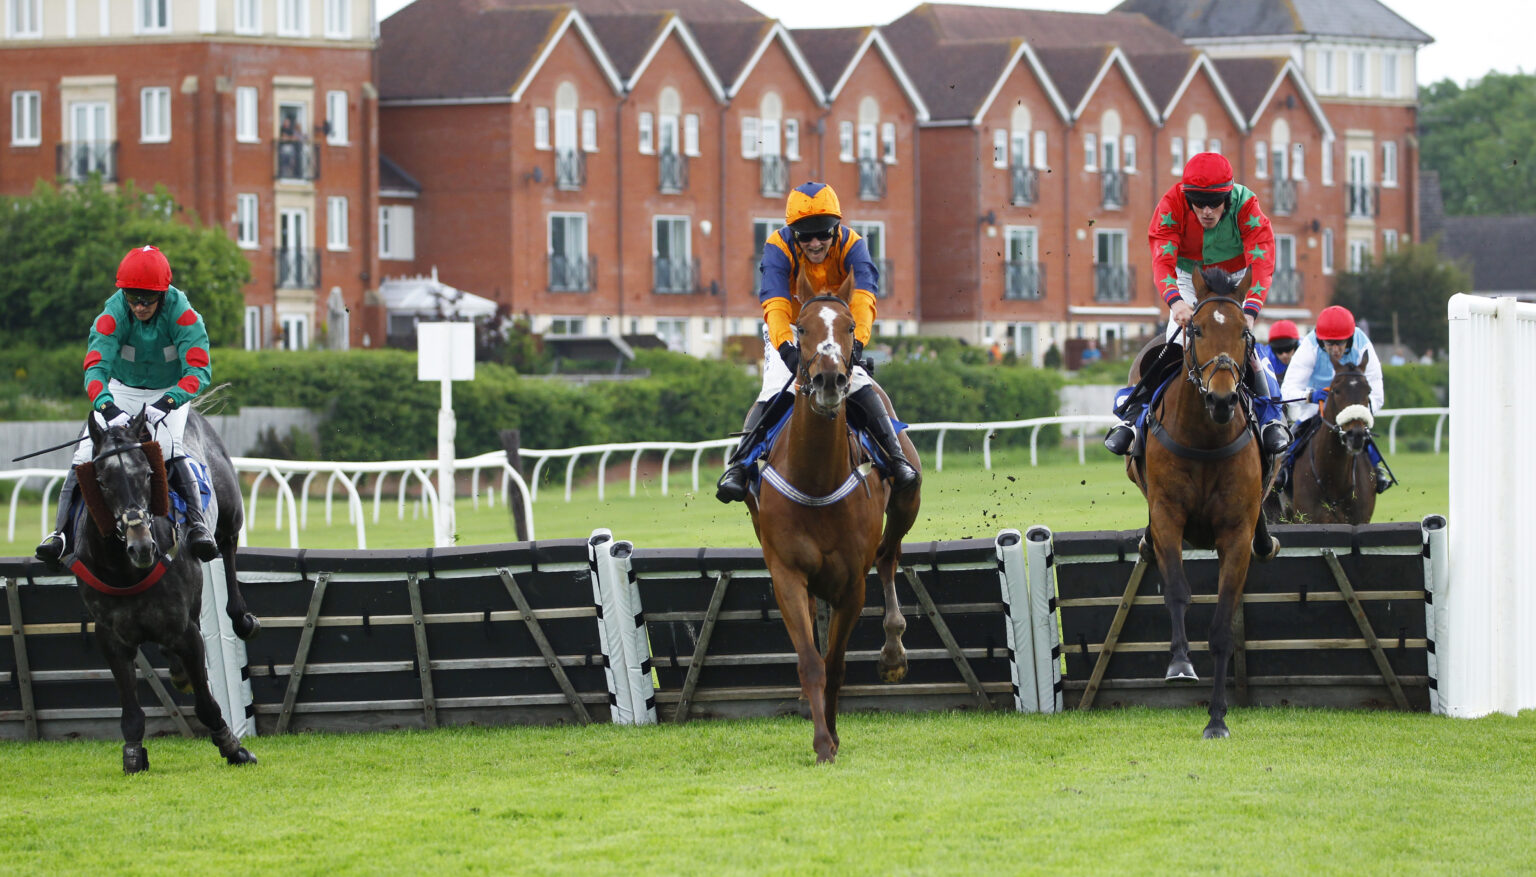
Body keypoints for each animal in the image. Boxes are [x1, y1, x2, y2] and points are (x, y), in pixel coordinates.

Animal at [74, 408, 258, 771]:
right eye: (101, 481)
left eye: (148, 474)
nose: (142, 546)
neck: (126, 572)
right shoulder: (111, 637)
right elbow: (130, 711)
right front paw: (133, 756)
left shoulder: (183, 631)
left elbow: (206, 703)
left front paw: (232, 746)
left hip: (229, 509)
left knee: (228, 545)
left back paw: (241, 617)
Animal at [746, 274, 915, 761]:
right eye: (801, 329)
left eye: (848, 327)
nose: (828, 380)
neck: (817, 479)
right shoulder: (786, 573)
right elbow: (811, 661)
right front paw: (823, 740)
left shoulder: (851, 584)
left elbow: (836, 664)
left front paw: (834, 733)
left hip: (906, 502)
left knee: (888, 557)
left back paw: (893, 652)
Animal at [1124, 267, 1277, 740]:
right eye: (1195, 329)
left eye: (1245, 333)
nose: (1223, 398)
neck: (1206, 437)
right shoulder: (1169, 516)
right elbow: (1177, 591)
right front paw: (1179, 663)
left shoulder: (1236, 533)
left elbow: (1223, 626)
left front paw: (1217, 718)